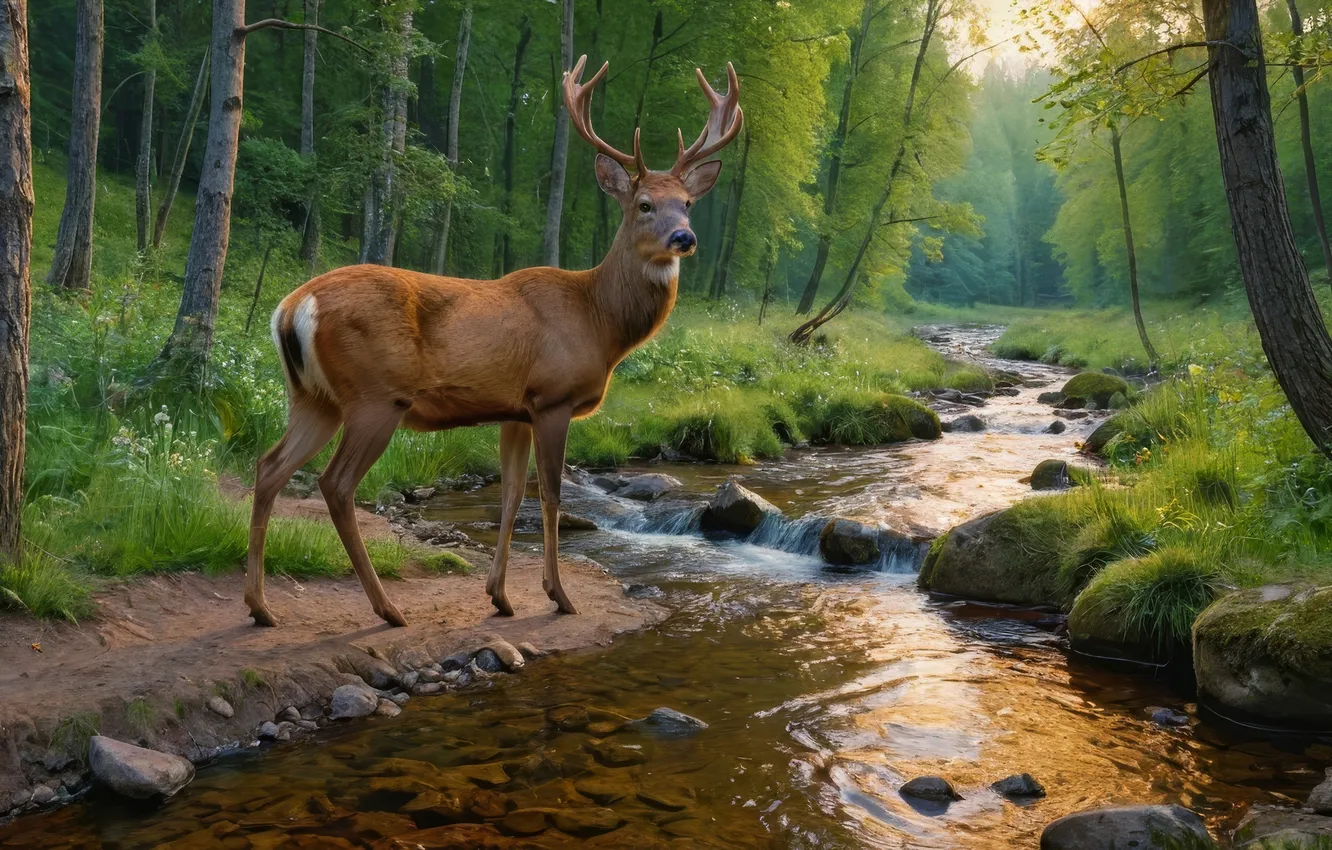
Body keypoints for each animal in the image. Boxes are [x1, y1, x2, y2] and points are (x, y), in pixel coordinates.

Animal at [244, 55, 743, 628]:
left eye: (687, 202)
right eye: (642, 204)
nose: (685, 238)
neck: (598, 321)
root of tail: (292, 306)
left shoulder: (515, 409)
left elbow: (510, 496)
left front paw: (500, 596)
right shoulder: (552, 398)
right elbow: (549, 496)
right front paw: (558, 595)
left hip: (313, 397)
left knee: (269, 467)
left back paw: (261, 607)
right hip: (374, 396)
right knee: (336, 484)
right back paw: (387, 608)